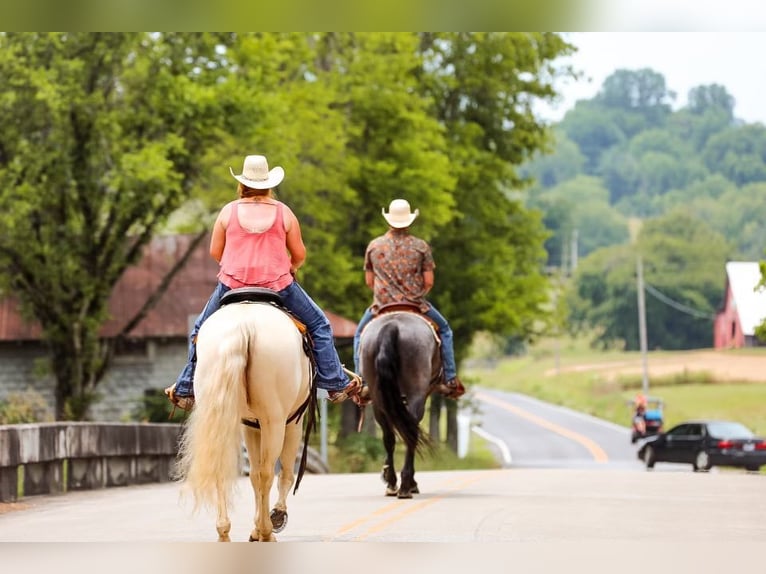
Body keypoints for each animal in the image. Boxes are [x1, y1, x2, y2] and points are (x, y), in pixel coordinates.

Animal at [177, 290, 316, 544]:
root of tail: (242, 327)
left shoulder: (250, 425)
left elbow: (252, 476)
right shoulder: (293, 422)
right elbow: (284, 473)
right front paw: (275, 516)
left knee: (223, 467)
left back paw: (224, 532)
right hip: (274, 420)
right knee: (267, 472)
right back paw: (267, 532)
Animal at [362, 308, 444, 502]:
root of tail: (392, 326)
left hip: (378, 398)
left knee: (389, 437)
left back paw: (392, 483)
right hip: (416, 393)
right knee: (410, 431)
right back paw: (406, 485)